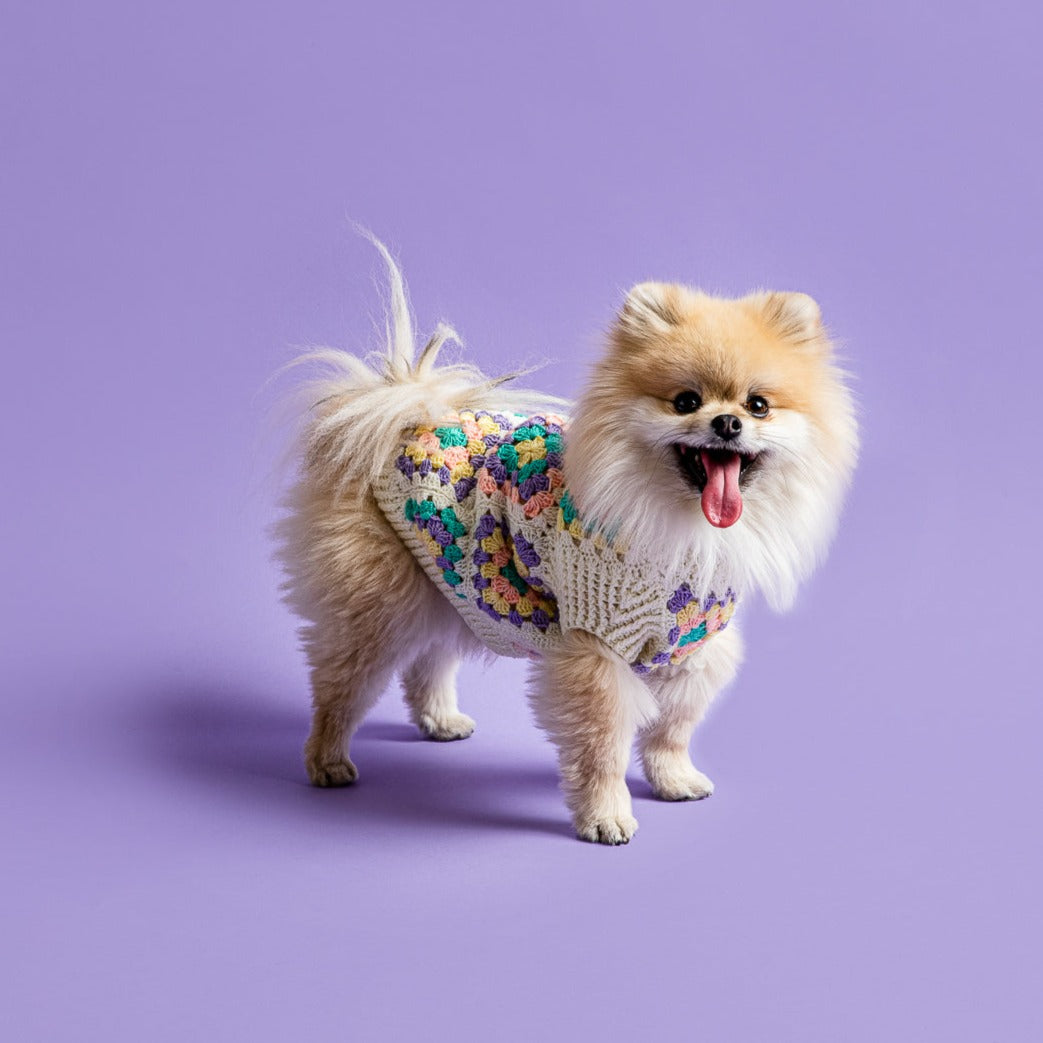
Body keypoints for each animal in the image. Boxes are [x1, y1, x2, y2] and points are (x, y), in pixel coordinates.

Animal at [277, 237, 857, 844]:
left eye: (758, 405)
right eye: (685, 401)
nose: (726, 423)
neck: (677, 523)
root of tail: (404, 416)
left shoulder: (692, 647)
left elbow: (673, 727)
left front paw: (673, 779)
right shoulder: (595, 649)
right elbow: (602, 745)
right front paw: (606, 815)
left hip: (450, 581)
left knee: (428, 659)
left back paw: (439, 720)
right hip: (382, 601)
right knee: (340, 682)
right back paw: (327, 758)